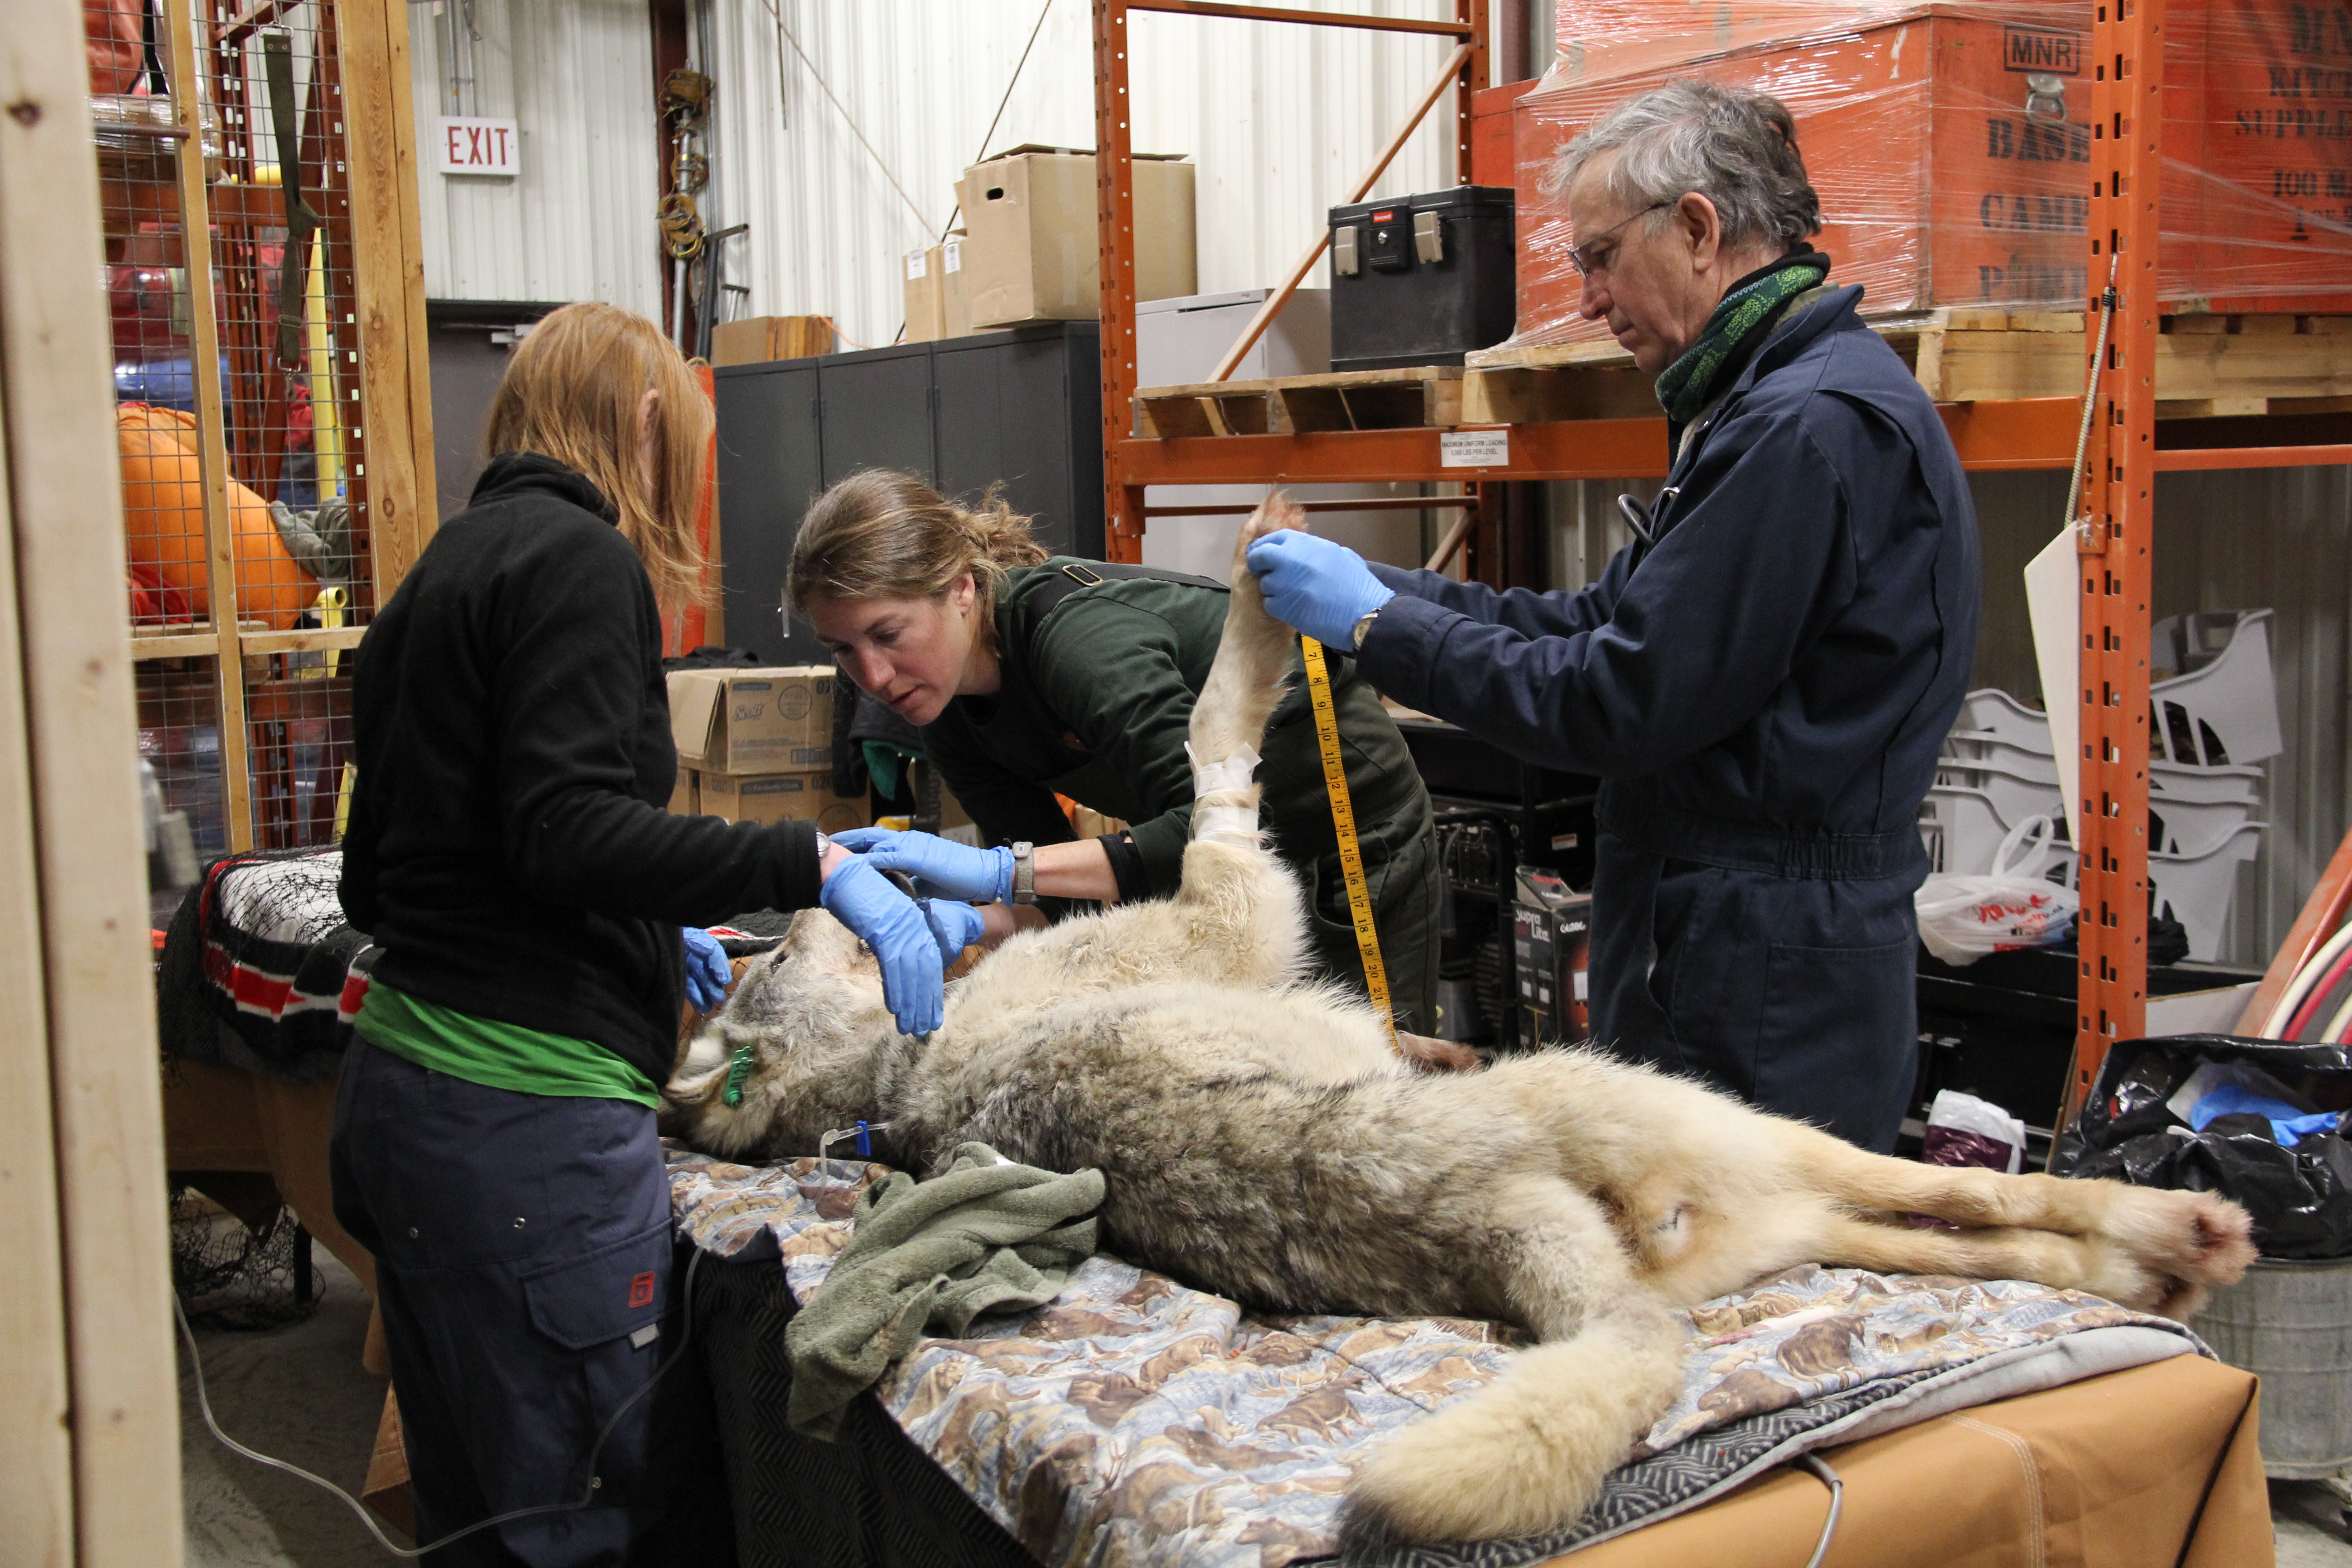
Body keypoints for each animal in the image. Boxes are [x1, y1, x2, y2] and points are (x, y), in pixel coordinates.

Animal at [668, 500, 2258, 1542]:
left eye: (770, 954)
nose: (836, 869)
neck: (904, 1065)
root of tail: (1530, 1246)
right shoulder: (1228, 887)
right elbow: (1217, 741)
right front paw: (1267, 578)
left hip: (1745, 1197)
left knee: (1936, 1231)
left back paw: (2149, 1268)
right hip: (1677, 1110)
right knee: (1954, 1196)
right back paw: (2175, 1233)